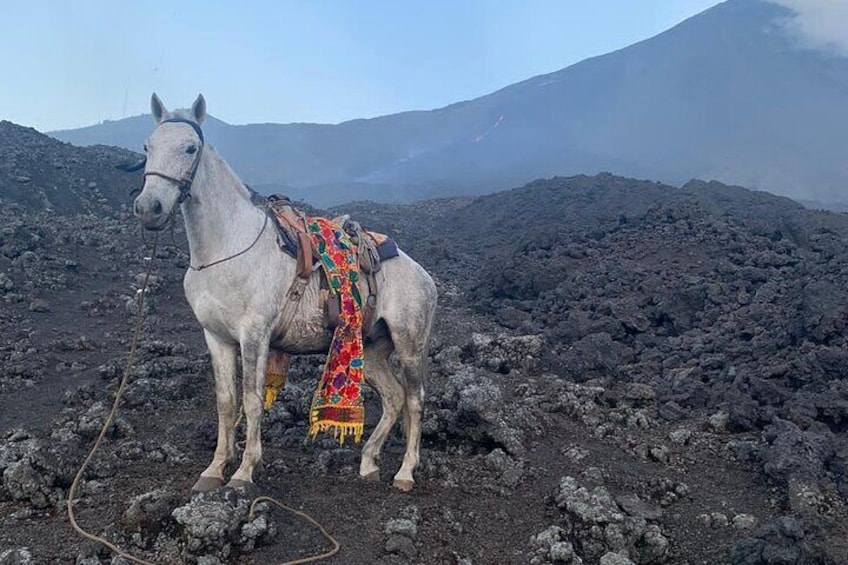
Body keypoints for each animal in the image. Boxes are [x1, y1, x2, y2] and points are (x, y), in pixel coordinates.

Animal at [134, 93, 438, 490]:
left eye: (190, 148)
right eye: (147, 146)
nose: (148, 208)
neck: (224, 249)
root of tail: (424, 276)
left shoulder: (254, 334)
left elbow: (250, 401)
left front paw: (244, 472)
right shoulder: (216, 337)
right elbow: (225, 402)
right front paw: (215, 469)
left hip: (408, 343)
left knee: (414, 399)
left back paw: (405, 472)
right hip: (371, 348)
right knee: (393, 398)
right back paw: (368, 462)